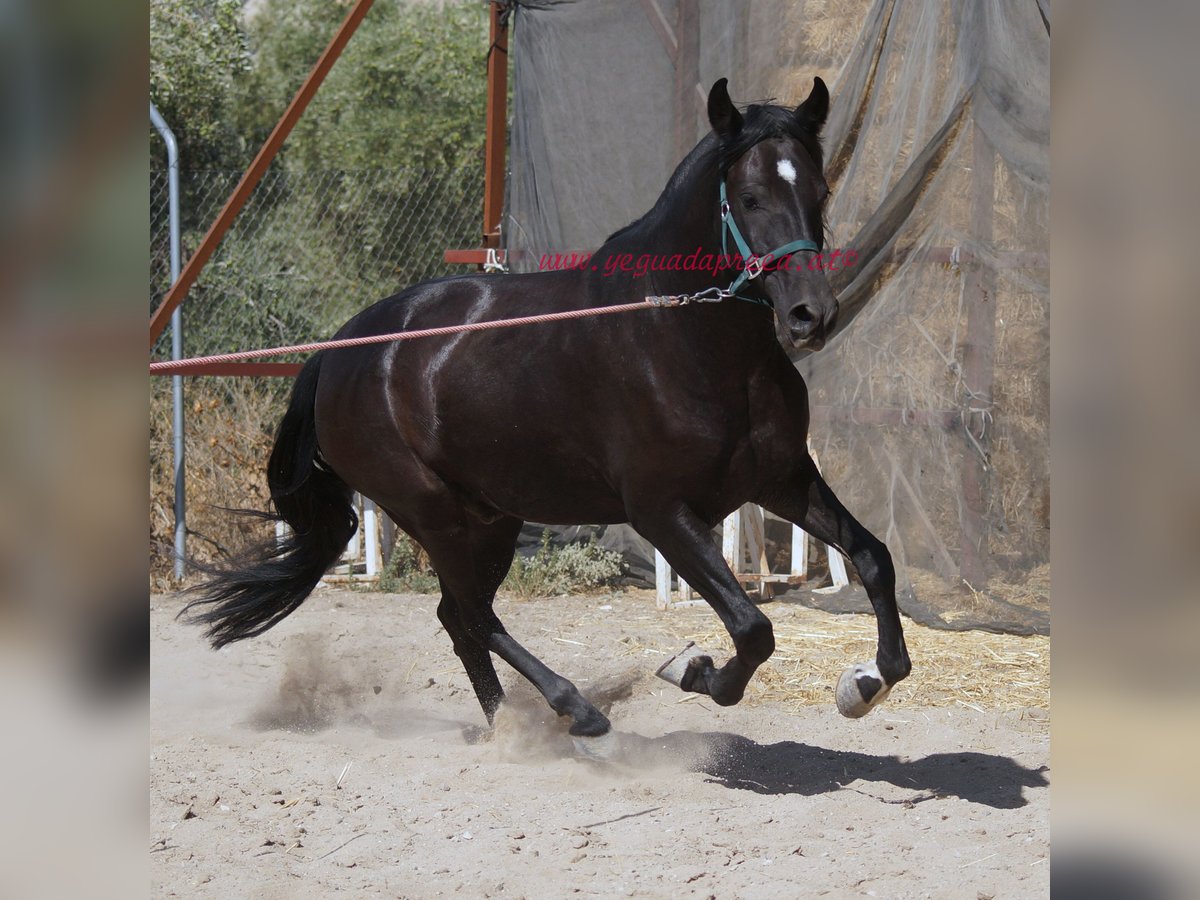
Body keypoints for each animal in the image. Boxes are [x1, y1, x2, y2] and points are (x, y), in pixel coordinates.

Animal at [184, 79, 907, 748]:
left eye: (819, 192)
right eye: (751, 197)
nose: (811, 315)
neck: (685, 340)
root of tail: (338, 353)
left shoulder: (781, 480)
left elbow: (873, 559)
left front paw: (864, 683)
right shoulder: (662, 512)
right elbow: (753, 628)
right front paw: (692, 670)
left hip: (492, 516)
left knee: (459, 618)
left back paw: (512, 726)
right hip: (432, 512)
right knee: (472, 616)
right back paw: (575, 711)